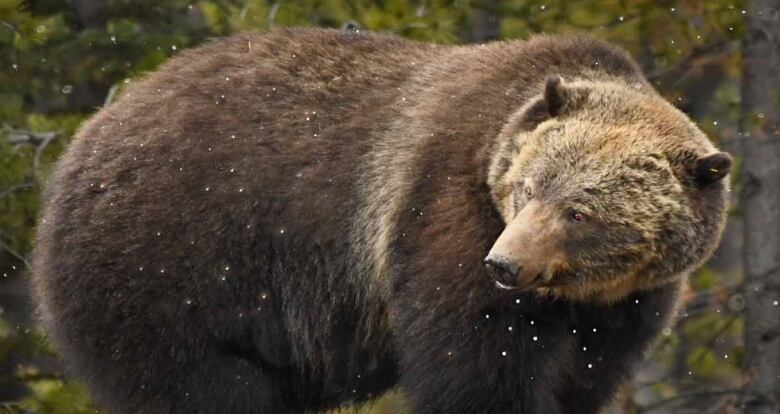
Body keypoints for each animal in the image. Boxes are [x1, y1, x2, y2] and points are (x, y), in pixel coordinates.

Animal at [29, 27, 724, 412]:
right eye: (528, 188)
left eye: (579, 210)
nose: (505, 264)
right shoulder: (443, 212)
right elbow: (476, 361)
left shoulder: (628, 306)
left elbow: (583, 377)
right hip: (174, 261)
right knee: (200, 385)